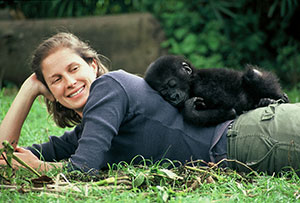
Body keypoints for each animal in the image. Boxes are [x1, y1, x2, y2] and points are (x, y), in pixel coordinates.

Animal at [144, 54, 290, 126]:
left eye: (172, 84)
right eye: (164, 93)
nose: (173, 97)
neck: (192, 81)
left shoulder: (203, 87)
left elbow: (231, 109)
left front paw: (189, 111)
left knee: (253, 74)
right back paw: (265, 101)